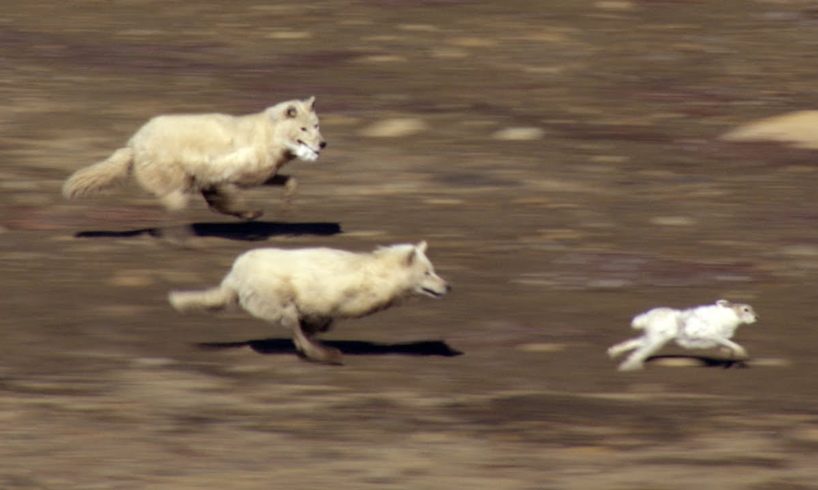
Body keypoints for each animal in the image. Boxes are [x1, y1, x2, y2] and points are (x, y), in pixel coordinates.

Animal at [62, 96, 324, 219]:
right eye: (303, 129)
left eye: (316, 125)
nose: (323, 144)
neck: (268, 135)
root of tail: (134, 142)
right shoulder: (223, 173)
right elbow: (227, 199)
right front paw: (249, 213)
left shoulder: (259, 175)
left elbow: (290, 181)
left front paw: (287, 205)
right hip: (173, 176)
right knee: (173, 201)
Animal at [169, 241, 450, 364]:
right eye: (427, 273)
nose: (448, 287)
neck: (377, 274)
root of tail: (233, 276)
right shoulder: (318, 301)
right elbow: (306, 326)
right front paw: (313, 345)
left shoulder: (325, 312)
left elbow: (316, 326)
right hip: (279, 298)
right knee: (293, 326)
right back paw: (321, 353)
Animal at [604, 298, 760, 372]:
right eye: (746, 309)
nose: (756, 318)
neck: (732, 316)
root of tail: (647, 317)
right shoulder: (713, 335)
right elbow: (733, 345)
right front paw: (741, 354)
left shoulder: (719, 340)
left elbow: (728, 347)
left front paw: (730, 363)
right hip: (657, 339)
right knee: (641, 350)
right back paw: (629, 367)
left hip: (653, 337)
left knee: (635, 344)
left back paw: (614, 353)